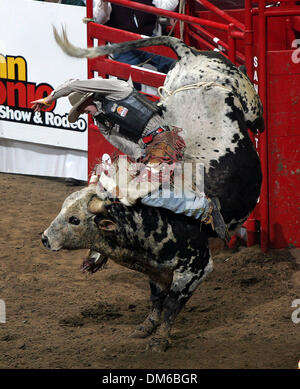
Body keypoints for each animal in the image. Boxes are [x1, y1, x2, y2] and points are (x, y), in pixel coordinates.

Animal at [42, 183, 212, 350]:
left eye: (74, 219)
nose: (45, 238)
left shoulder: (196, 268)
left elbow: (171, 305)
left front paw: (160, 340)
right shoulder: (156, 269)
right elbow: (157, 298)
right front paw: (146, 327)